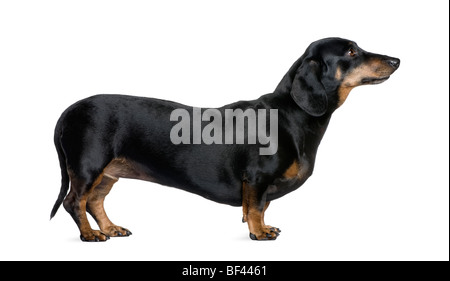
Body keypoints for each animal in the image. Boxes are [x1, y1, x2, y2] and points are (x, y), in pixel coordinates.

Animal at [50, 37, 400, 241]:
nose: (396, 60)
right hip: (88, 166)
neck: (289, 114)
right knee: (75, 201)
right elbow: (256, 207)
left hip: (108, 173)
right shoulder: (257, 177)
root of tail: (69, 110)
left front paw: (264, 226)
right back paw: (91, 235)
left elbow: (261, 207)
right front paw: (259, 233)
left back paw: (110, 228)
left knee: (95, 201)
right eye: (351, 52)